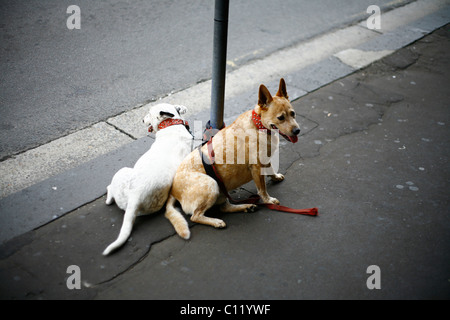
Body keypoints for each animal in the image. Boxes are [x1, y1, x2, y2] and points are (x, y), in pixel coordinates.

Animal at [103, 104, 192, 256]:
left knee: (110, 191)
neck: (170, 124)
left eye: (149, 113)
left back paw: (108, 198)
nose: (142, 120)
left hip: (122, 171)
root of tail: (135, 196)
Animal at [164, 77, 298, 239]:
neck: (259, 126)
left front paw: (275, 177)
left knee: (224, 208)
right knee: (195, 216)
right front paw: (268, 200)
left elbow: (271, 169)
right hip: (211, 184)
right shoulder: (256, 167)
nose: (297, 130)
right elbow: (262, 189)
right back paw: (216, 221)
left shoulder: (264, 159)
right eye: (281, 118)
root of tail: (172, 190)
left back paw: (246, 207)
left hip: (220, 191)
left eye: (293, 113)